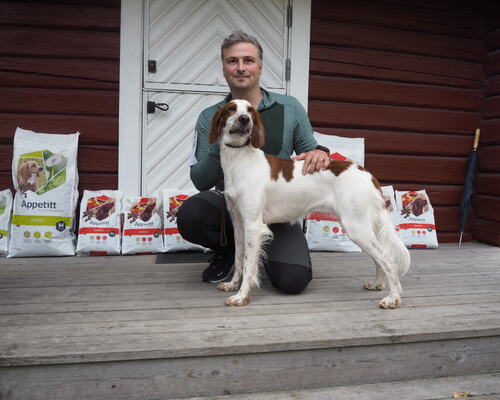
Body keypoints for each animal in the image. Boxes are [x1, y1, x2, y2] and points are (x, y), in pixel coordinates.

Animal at [207, 100, 410, 310]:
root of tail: (368, 174)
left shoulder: (253, 225)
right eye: (231, 108)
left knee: (388, 260)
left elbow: (248, 265)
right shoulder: (239, 223)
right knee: (381, 258)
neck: (238, 159)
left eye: (249, 111)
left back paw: (392, 298)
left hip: (356, 227)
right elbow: (239, 259)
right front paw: (232, 285)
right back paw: (378, 284)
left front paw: (241, 296)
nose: (244, 119)